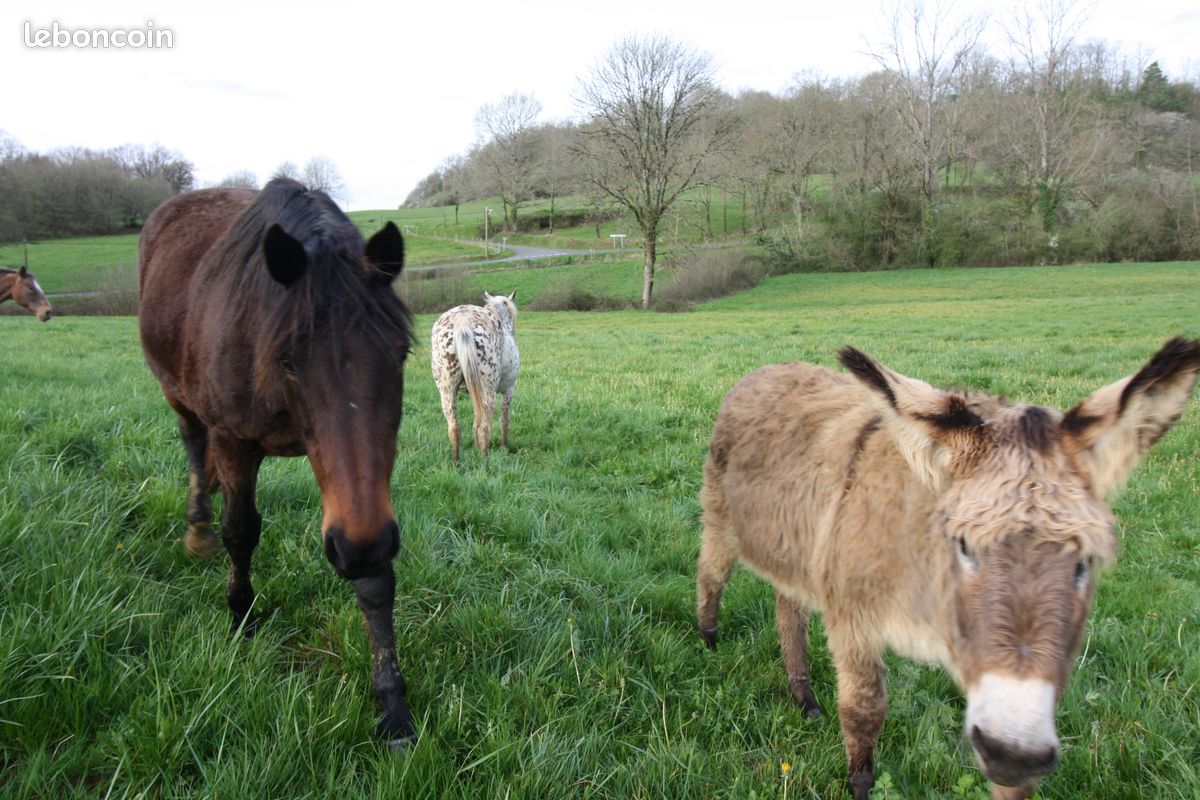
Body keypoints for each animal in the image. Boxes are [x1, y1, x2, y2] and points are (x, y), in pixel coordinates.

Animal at [138, 178, 418, 748]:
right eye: (289, 360)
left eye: (399, 353)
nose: (357, 549)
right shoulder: (234, 440)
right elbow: (241, 531)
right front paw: (241, 619)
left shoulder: (363, 504)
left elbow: (376, 582)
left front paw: (392, 707)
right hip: (179, 399)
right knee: (194, 449)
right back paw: (197, 530)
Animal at [430, 292, 520, 462]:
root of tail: (461, 318)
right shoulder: (509, 389)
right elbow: (504, 421)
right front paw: (505, 447)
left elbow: (475, 421)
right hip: (488, 390)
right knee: (485, 427)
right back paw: (485, 461)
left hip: (447, 390)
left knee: (454, 427)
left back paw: (456, 463)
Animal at [697, 338, 1200, 800]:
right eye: (962, 546)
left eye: (1084, 563)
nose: (1014, 753)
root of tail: (767, 368)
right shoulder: (853, 617)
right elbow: (864, 710)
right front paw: (860, 784)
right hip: (722, 518)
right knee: (711, 574)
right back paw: (709, 640)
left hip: (797, 549)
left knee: (789, 609)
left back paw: (803, 696)